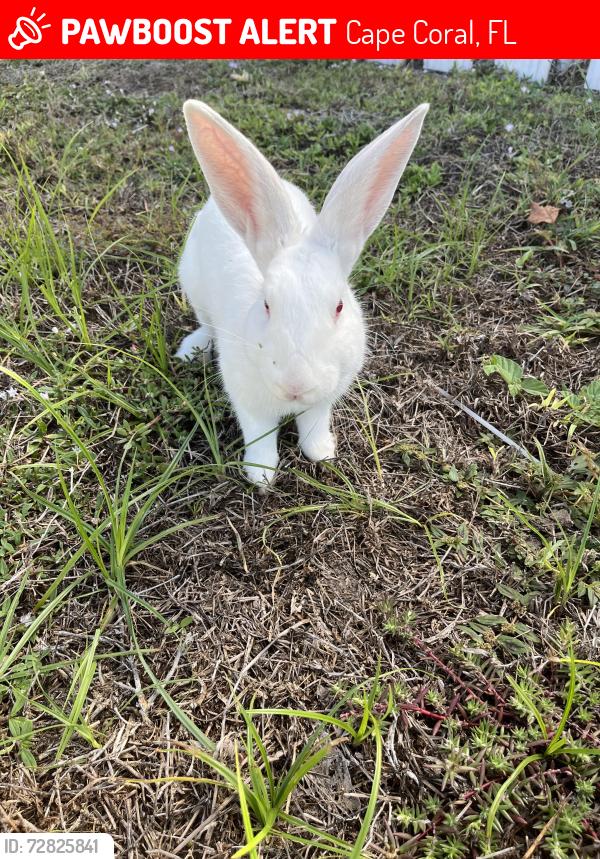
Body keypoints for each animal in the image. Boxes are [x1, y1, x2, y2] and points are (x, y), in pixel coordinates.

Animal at [176, 99, 429, 485]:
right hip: (193, 284)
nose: (296, 383)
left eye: (339, 307)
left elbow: (312, 425)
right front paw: (262, 475)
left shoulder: (324, 398)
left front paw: (322, 453)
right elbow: (259, 435)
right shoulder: (247, 399)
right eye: (267, 305)